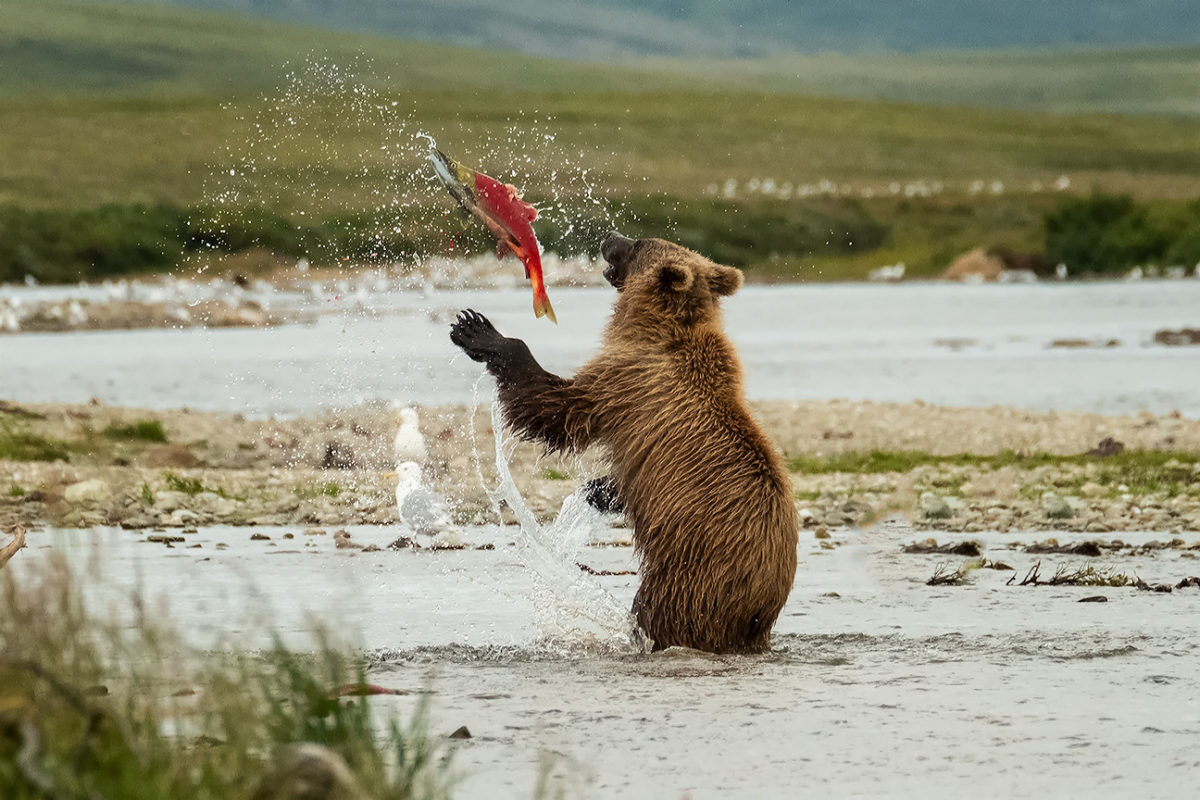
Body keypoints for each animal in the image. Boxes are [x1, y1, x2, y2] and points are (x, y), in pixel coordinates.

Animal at [449, 233, 798, 653]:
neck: (654, 327)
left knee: (664, 610)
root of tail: (760, 610)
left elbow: (558, 408)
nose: (609, 237)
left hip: (695, 572)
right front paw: (599, 491)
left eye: (639, 243)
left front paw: (477, 330)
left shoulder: (624, 383)